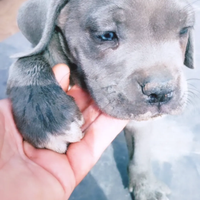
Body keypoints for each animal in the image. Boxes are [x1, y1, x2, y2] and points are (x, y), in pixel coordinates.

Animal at [6, 0, 195, 199]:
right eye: (106, 35)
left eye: (184, 30)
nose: (161, 92)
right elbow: (25, 61)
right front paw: (46, 116)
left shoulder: (141, 123)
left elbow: (140, 153)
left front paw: (146, 186)